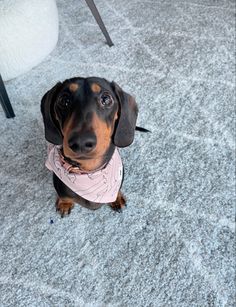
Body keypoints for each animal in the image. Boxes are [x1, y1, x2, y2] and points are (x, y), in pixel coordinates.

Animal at [41, 76, 139, 217]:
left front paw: (117, 198)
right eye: (64, 100)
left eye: (106, 99)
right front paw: (64, 204)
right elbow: (64, 196)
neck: (89, 172)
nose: (81, 142)